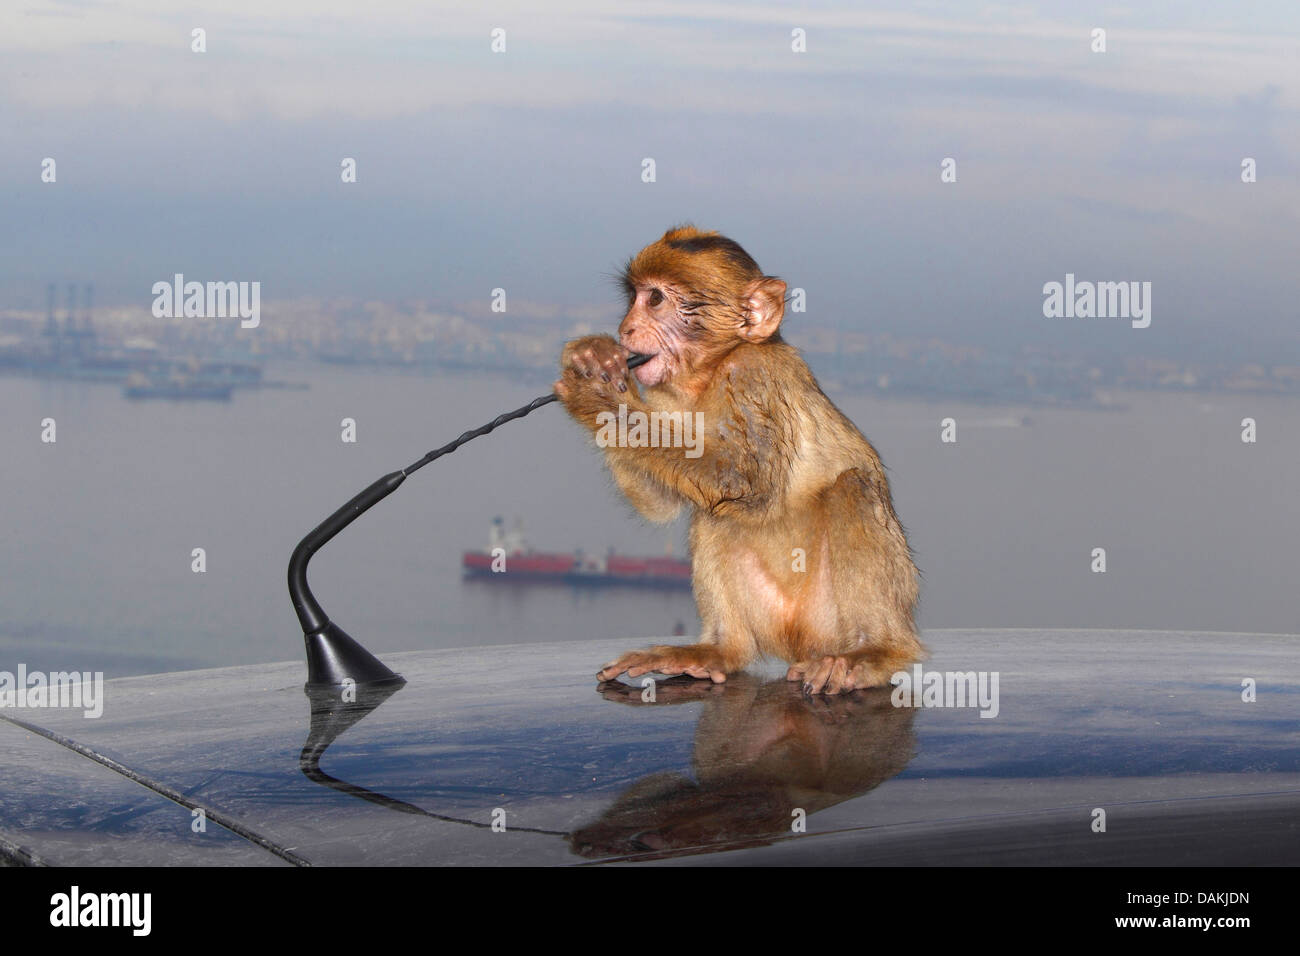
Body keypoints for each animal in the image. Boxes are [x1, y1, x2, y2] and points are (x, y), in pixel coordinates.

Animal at [553, 227, 920, 697]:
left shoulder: (752, 373)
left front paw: (598, 397)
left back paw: (874, 653)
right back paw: (718, 651)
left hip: (829, 620)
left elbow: (746, 482)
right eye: (634, 296)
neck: (711, 371)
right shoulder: (662, 393)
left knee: (850, 488)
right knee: (714, 514)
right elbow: (663, 503)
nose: (626, 328)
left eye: (656, 299)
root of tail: (799, 640)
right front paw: (592, 356)